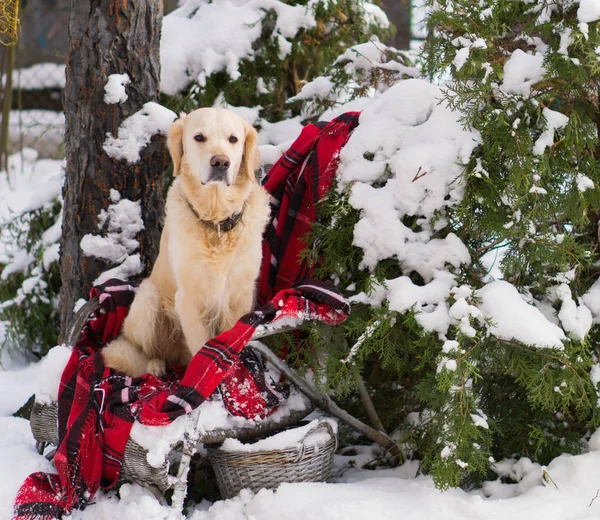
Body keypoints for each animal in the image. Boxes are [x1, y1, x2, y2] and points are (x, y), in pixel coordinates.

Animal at [102, 108, 270, 378]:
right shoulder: (189, 298)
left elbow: (230, 342)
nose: (220, 162)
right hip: (149, 300)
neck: (216, 222)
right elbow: (203, 350)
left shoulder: (241, 295)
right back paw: (155, 367)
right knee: (142, 352)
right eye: (199, 137)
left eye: (233, 139)